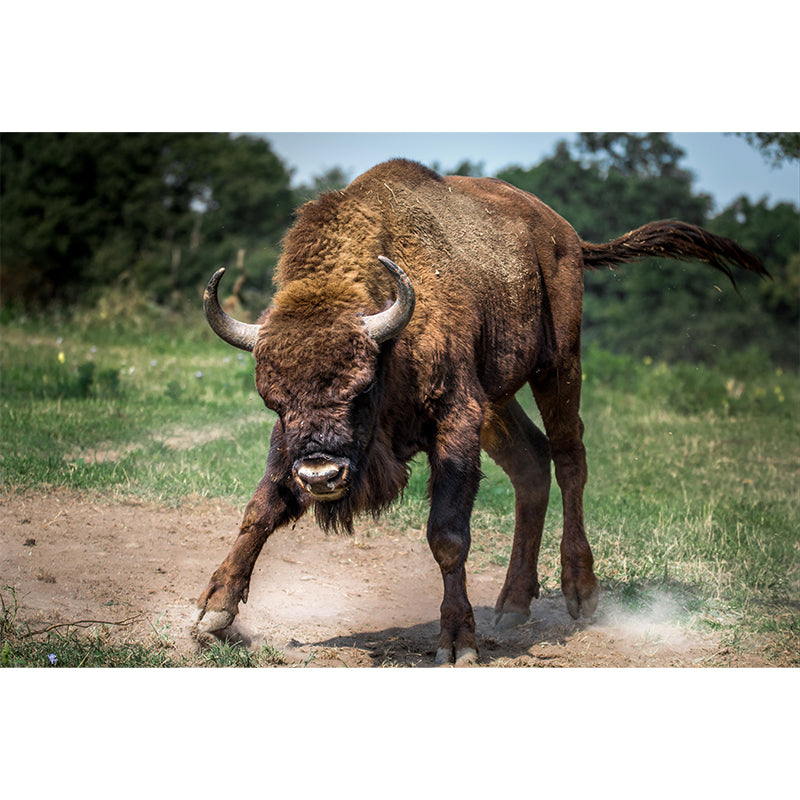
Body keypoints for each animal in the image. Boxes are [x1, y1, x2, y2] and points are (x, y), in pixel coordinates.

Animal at [192, 158, 766, 665]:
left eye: (362, 387)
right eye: (273, 400)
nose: (320, 475)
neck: (392, 339)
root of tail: (565, 236)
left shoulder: (456, 419)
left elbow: (447, 535)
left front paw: (457, 643)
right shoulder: (294, 444)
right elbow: (261, 507)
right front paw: (212, 616)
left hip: (558, 365)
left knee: (569, 458)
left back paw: (580, 593)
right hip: (499, 400)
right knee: (531, 464)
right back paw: (512, 605)